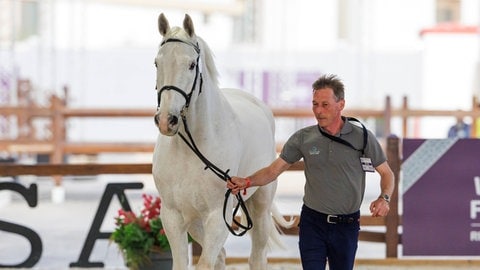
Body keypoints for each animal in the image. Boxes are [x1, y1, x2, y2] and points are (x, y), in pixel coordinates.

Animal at [152, 14, 292, 270]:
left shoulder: (218, 216)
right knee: (222, 255)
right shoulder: (173, 216)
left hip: (260, 207)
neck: (191, 152)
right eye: (157, 63)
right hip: (196, 221)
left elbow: (205, 264)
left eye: (191, 64)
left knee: (257, 256)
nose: (167, 120)